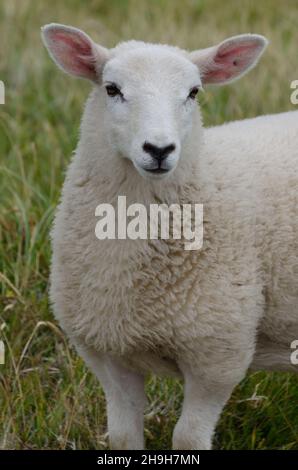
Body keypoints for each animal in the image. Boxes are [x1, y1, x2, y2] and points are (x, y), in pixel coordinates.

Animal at [41, 23, 298, 450]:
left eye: (193, 93)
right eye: (111, 89)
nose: (159, 149)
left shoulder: (218, 356)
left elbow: (188, 438)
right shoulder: (108, 353)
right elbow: (123, 437)